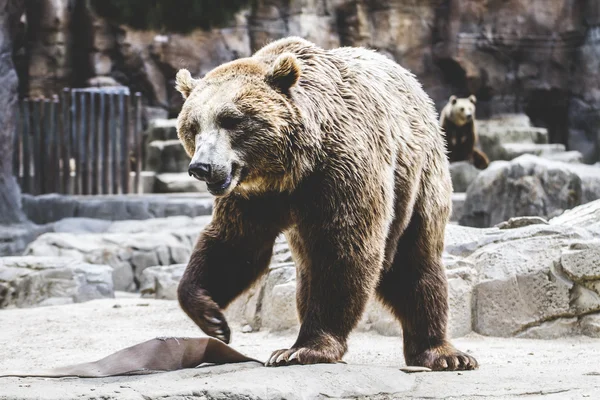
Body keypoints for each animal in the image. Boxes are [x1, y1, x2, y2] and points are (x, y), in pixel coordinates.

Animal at [173, 37, 478, 372]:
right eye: (193, 126)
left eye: (231, 119)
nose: (201, 167)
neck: (290, 169)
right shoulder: (253, 196)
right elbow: (234, 245)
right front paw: (212, 317)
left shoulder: (343, 169)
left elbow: (344, 250)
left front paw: (306, 347)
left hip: (419, 178)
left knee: (416, 261)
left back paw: (442, 352)